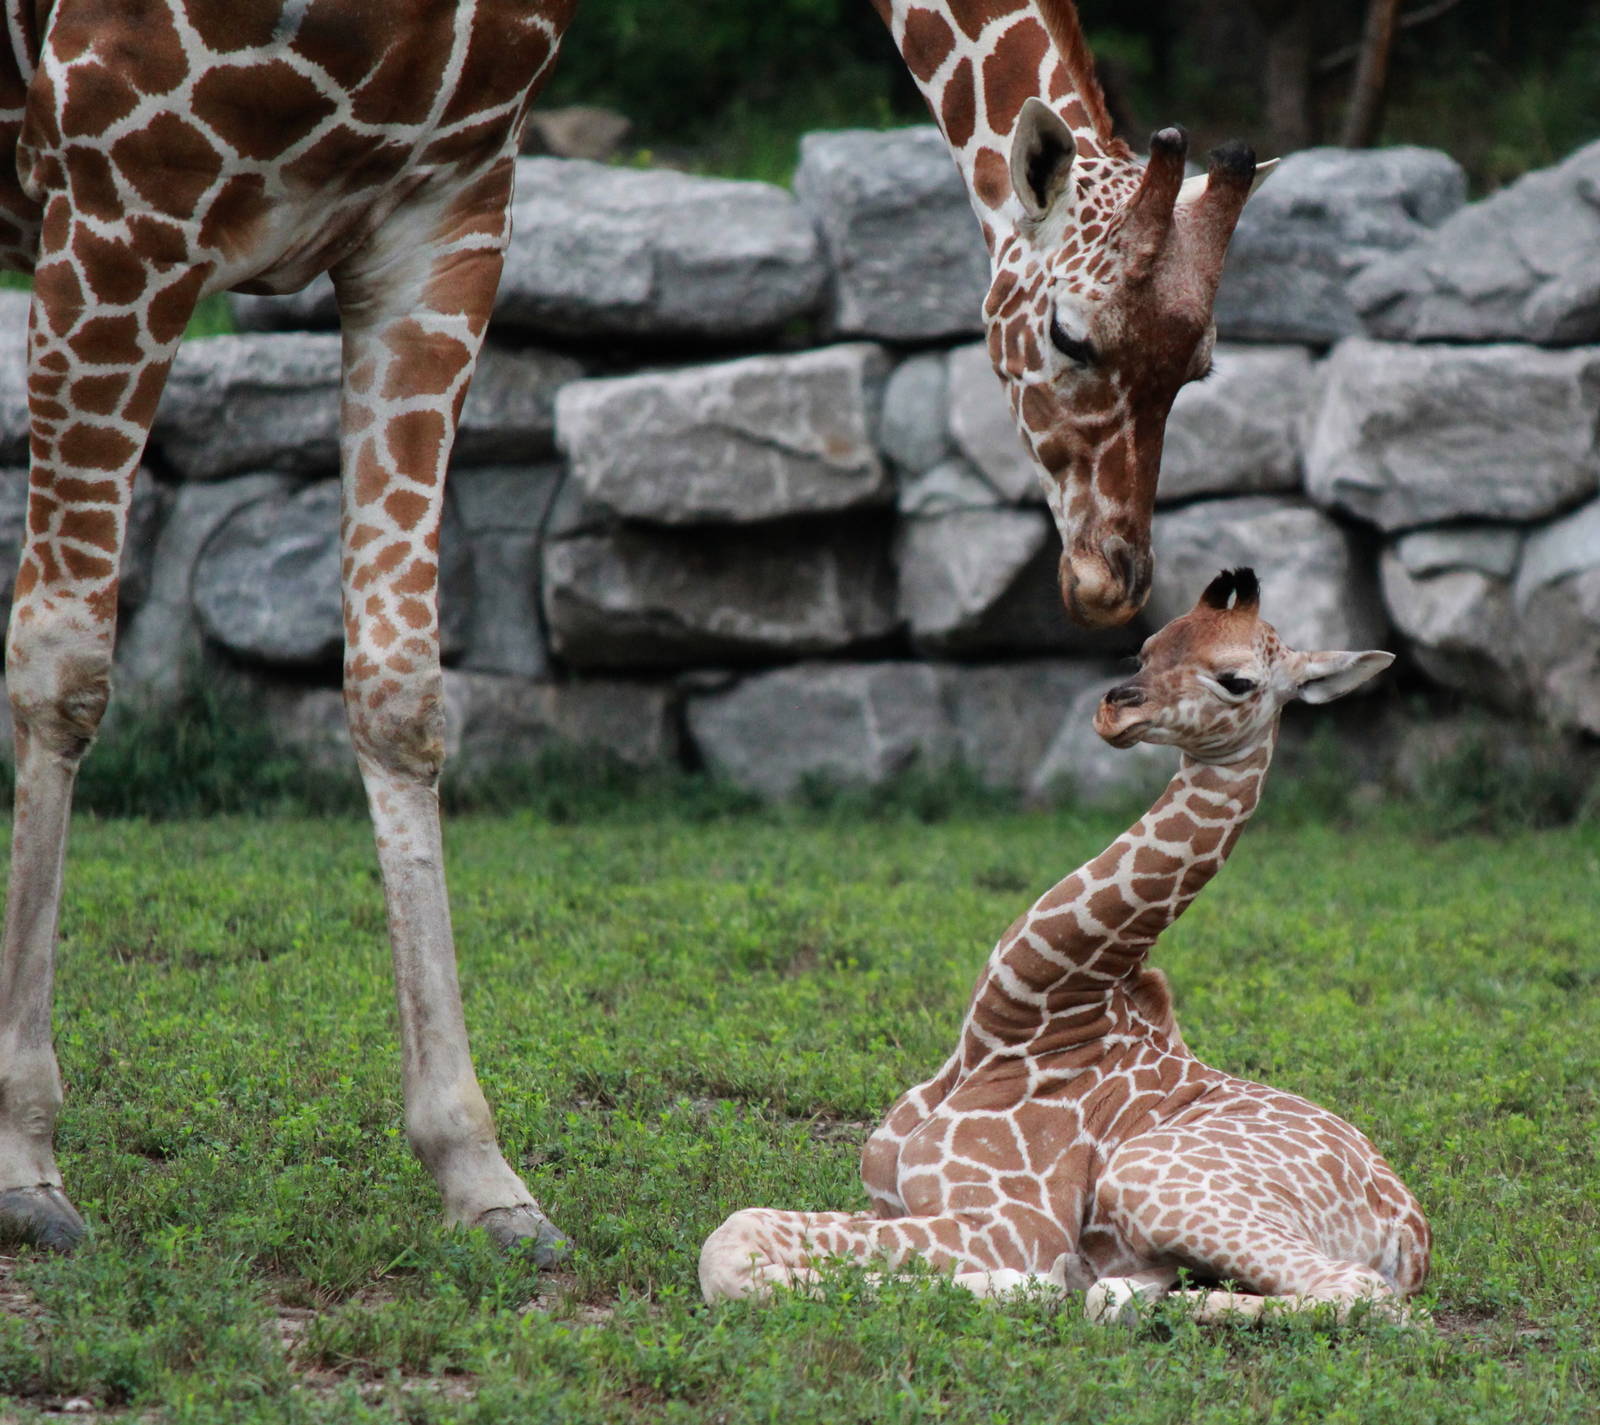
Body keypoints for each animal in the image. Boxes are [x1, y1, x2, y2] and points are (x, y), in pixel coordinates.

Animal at [0, 0, 581, 1256]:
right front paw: (22, 1159)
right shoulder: (116, 199)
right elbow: (61, 666)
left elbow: (400, 689)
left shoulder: (444, 219)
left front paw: (481, 1173)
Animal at [701, 568, 1431, 1322]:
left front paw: (1016, 1285)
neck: (1017, 1022)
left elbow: (730, 1246)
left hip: (1152, 1179)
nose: (1116, 709)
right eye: (1147, 646)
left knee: (1364, 1295)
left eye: (1237, 680)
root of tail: (1410, 1232)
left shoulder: (1006, 1222)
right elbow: (741, 1233)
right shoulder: (888, 1200)